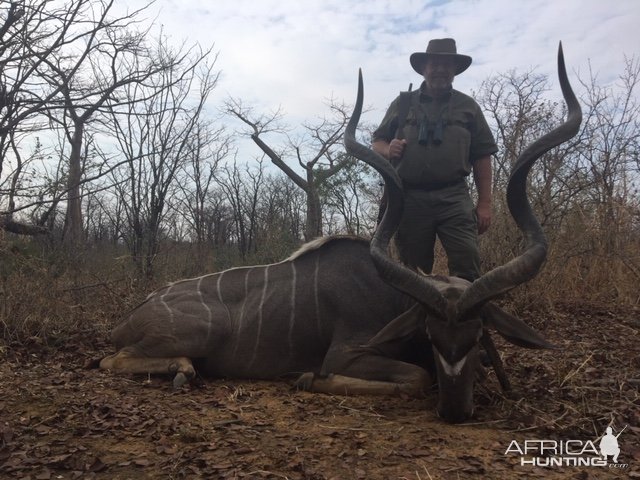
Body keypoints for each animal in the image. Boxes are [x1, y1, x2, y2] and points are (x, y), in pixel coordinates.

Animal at [99, 43, 580, 422]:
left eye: (477, 335)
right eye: (430, 335)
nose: (455, 412)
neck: (394, 298)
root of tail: (129, 317)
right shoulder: (349, 353)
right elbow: (415, 376)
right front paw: (307, 378)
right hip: (202, 331)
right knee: (111, 358)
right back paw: (182, 370)